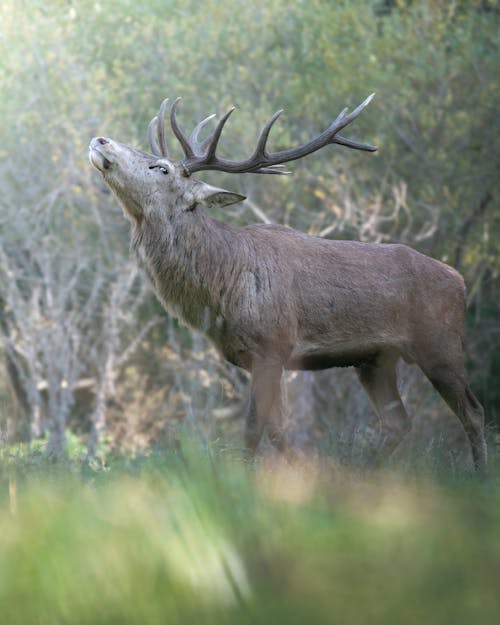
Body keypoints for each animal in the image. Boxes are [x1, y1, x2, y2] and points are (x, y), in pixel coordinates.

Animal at [88, 95, 486, 470]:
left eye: (162, 167)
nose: (100, 139)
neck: (222, 287)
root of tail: (460, 281)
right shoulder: (256, 358)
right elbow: (278, 430)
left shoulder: (272, 344)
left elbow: (253, 429)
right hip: (375, 360)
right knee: (398, 422)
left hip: (439, 344)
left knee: (473, 412)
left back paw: (478, 474)